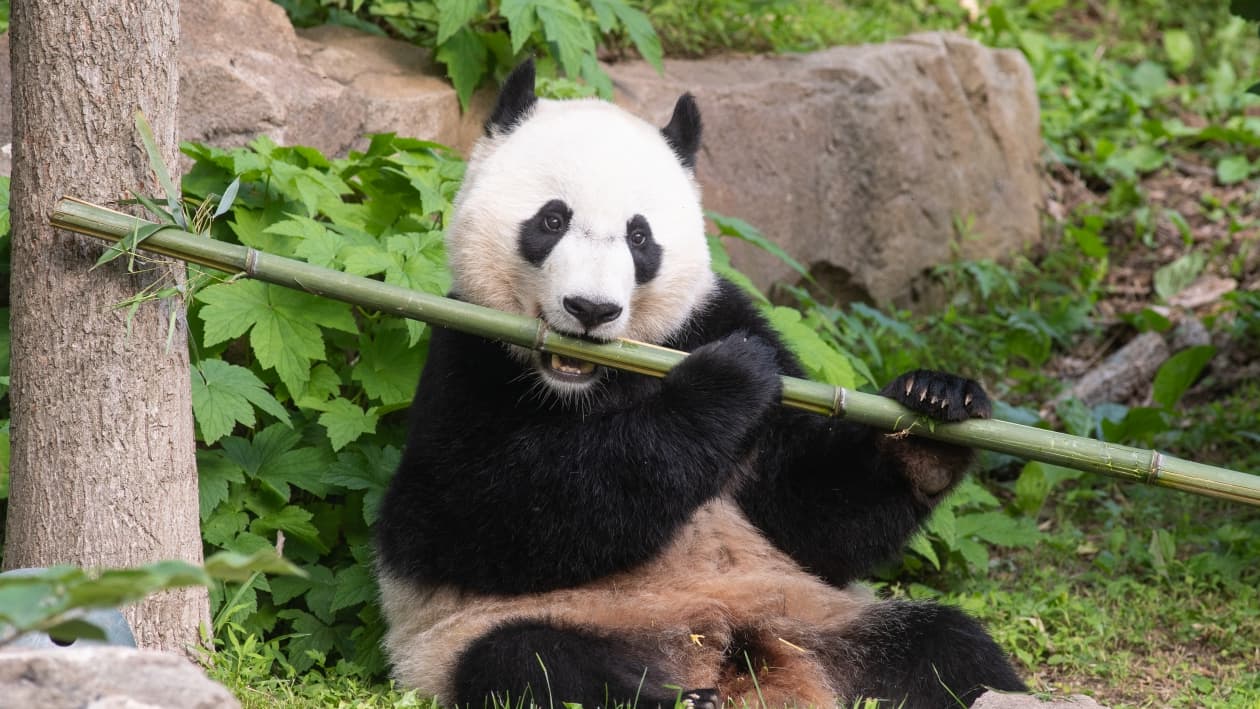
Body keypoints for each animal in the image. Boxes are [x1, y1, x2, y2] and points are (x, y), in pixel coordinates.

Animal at [375, 59, 1026, 709]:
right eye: (552, 220)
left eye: (640, 238)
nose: (591, 309)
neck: (597, 382)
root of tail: (735, 659)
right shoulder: (465, 356)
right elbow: (465, 516)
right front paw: (725, 383)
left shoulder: (715, 316)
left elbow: (812, 518)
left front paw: (934, 408)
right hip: (494, 637)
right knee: (527, 663)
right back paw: (676, 698)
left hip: (822, 619)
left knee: (945, 647)